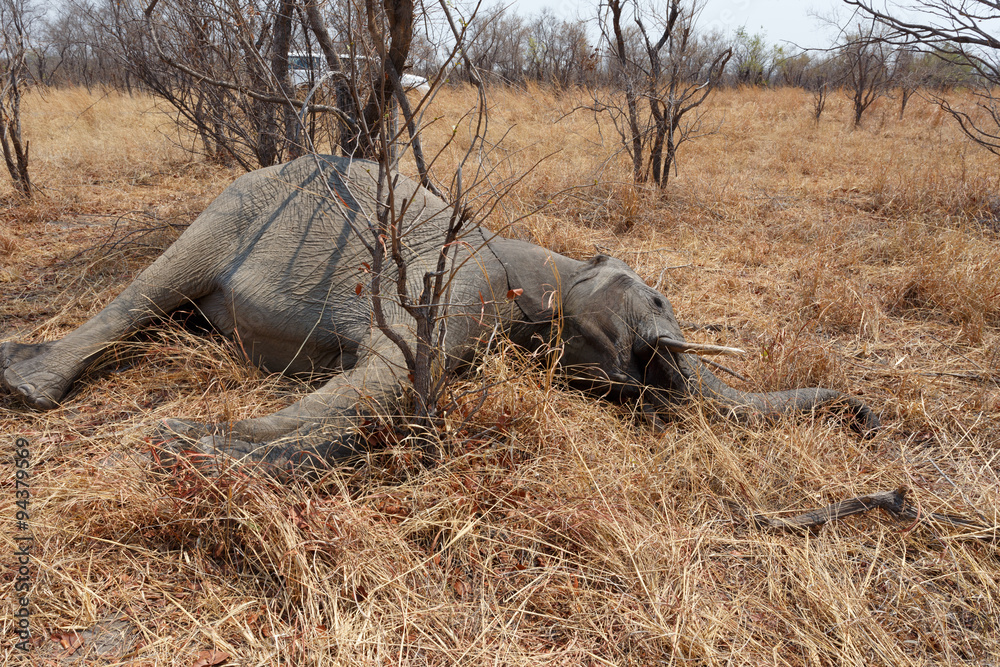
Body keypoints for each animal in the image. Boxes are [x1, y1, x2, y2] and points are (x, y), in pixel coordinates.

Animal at [1, 155, 879, 477]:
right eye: (659, 299)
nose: (869, 419)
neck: (550, 259)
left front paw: (199, 447)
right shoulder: (453, 285)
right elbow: (385, 382)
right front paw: (190, 446)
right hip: (230, 209)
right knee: (147, 291)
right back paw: (26, 387)